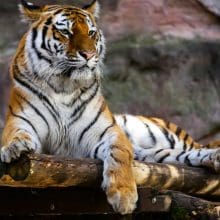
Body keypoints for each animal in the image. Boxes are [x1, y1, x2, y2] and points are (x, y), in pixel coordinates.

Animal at [1, 0, 220, 214]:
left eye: (91, 33)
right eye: (66, 32)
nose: (89, 54)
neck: (64, 86)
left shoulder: (109, 131)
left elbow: (119, 154)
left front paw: (124, 196)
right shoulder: (20, 121)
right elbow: (16, 135)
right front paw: (14, 148)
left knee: (196, 148)